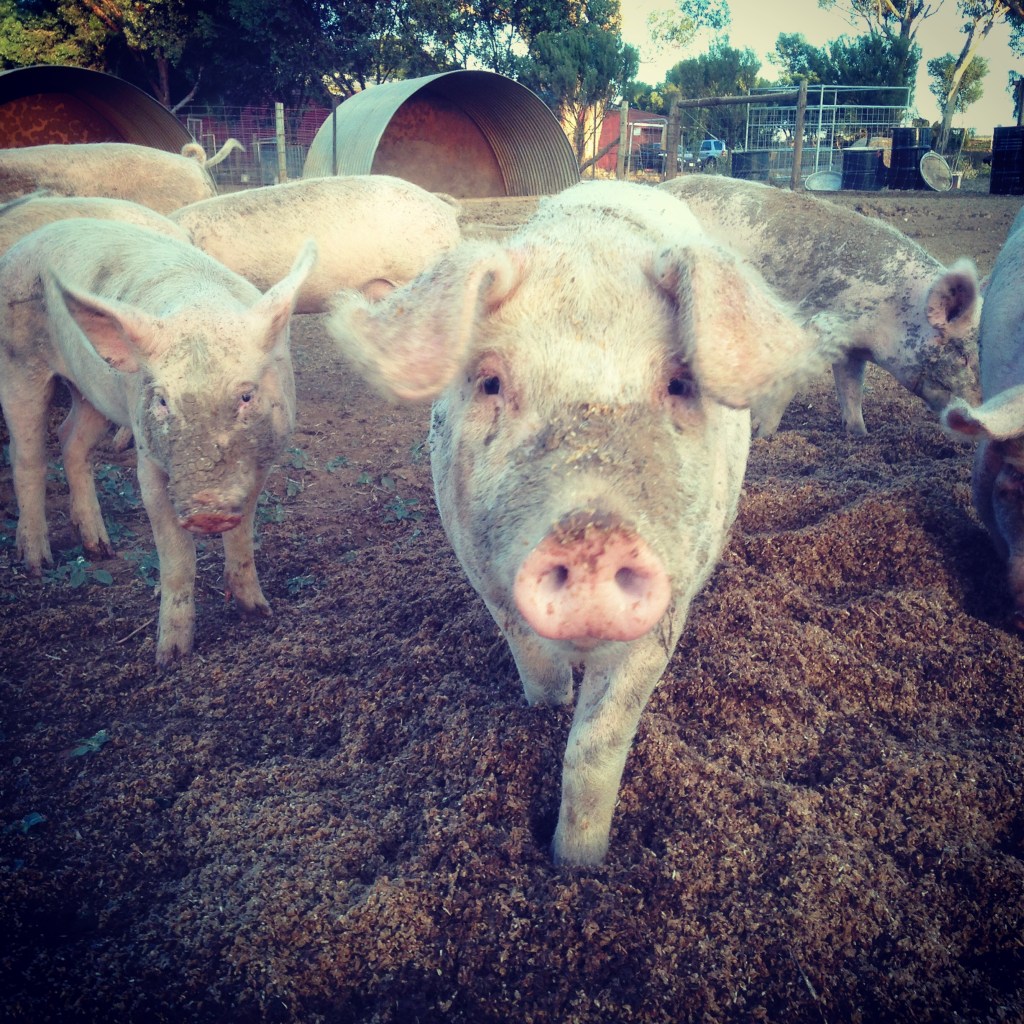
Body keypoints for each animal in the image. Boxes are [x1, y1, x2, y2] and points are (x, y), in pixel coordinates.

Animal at [0, 218, 315, 665]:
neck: (201, 309)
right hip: (17, 364)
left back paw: (100, 549)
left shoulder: (262, 462)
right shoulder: (148, 464)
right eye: (163, 401)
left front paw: (258, 612)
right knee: (26, 455)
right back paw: (36, 563)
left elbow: (242, 539)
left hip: (93, 393)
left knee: (70, 440)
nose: (206, 509)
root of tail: (21, 246)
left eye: (246, 396)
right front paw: (170, 657)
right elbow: (178, 558)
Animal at [327, 180, 829, 866]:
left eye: (680, 383)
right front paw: (549, 705)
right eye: (491, 381)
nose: (594, 539)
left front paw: (577, 866)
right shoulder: (481, 567)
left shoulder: (669, 604)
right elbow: (533, 664)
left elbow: (597, 742)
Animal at [659, 175, 981, 437]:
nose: (979, 417)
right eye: (963, 356)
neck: (896, 311)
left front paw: (859, 433)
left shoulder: (852, 349)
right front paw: (759, 434)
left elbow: (852, 389)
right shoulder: (823, 324)